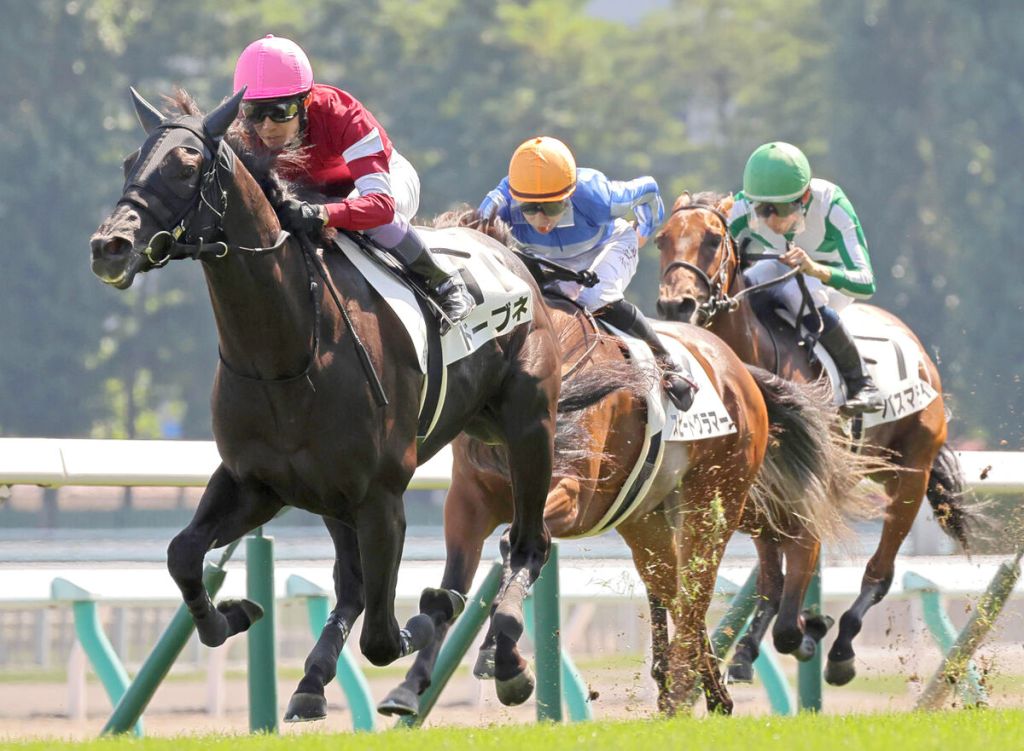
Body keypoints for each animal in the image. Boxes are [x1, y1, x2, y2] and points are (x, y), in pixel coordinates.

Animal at [88, 89, 614, 722]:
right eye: (128, 162)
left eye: (187, 166)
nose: (109, 247)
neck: (288, 351)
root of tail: (510, 252)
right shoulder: (256, 483)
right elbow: (183, 553)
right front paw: (232, 615)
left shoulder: (381, 496)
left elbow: (387, 634)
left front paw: (431, 614)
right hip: (347, 490)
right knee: (356, 584)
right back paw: (312, 681)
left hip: (526, 426)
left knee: (527, 544)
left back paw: (507, 659)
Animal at [375, 210, 874, 717]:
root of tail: (740, 370)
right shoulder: (468, 502)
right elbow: (454, 583)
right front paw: (414, 684)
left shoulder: (574, 496)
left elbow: (518, 546)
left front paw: (505, 658)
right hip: (646, 520)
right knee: (676, 591)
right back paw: (706, 689)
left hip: (715, 504)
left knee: (702, 589)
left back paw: (694, 682)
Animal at [655, 191, 978, 686]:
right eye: (661, 240)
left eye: (712, 239)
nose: (677, 306)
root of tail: (918, 349)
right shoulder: (756, 500)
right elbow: (772, 585)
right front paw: (755, 647)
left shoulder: (803, 495)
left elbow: (791, 615)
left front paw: (810, 631)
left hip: (910, 475)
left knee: (879, 572)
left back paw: (842, 647)